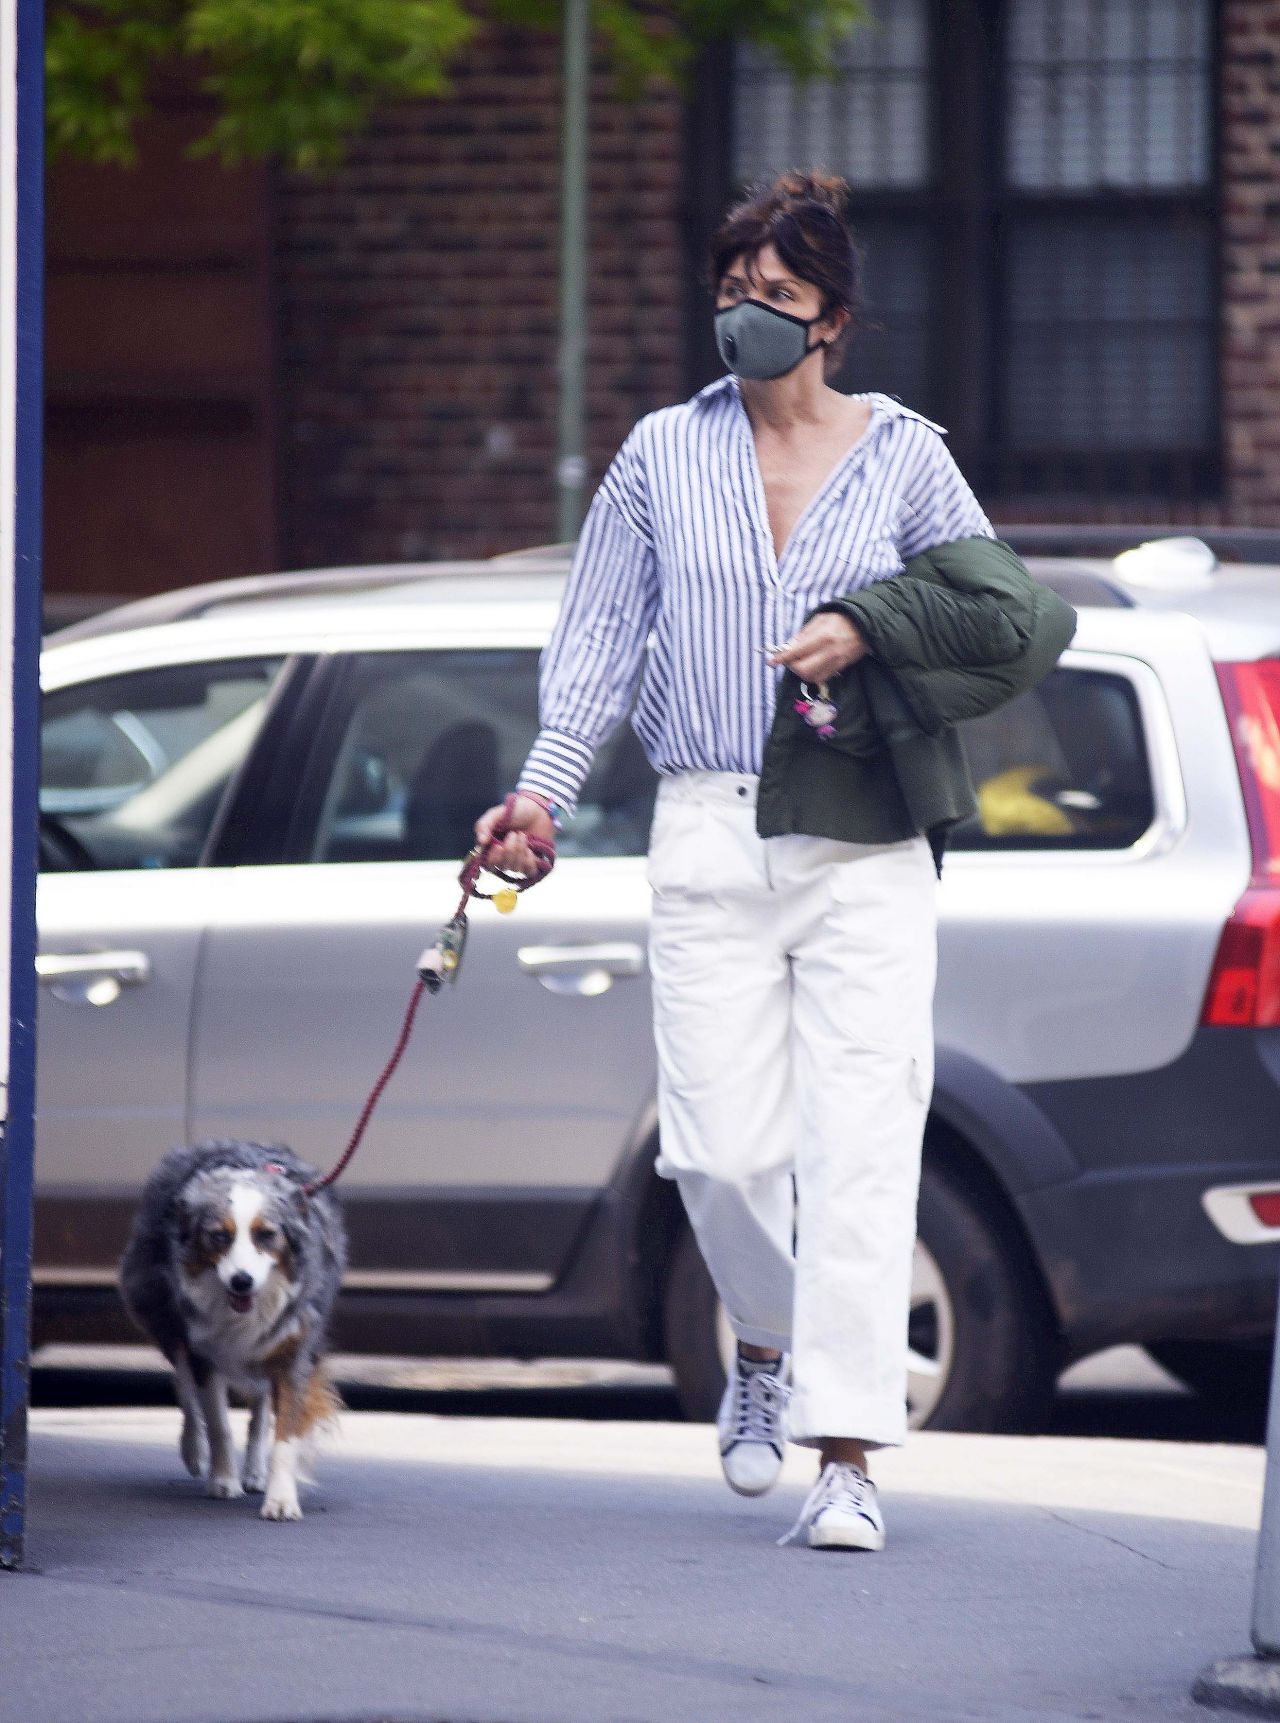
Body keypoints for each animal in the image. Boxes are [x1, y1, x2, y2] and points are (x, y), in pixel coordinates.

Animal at [118, 1144, 347, 1523]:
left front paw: (280, 1498)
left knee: (261, 1409)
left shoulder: (292, 1348)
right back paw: (194, 1450)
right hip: (160, 1311)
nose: (242, 1281)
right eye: (219, 1236)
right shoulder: (204, 1348)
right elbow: (218, 1423)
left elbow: (285, 1430)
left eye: (266, 1235)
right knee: (184, 1385)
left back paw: (255, 1471)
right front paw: (223, 1480)